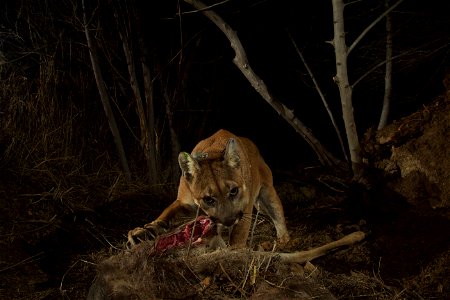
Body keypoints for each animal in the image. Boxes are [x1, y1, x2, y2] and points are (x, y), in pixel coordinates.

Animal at [126, 129, 290, 248]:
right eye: (208, 199)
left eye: (234, 191)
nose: (229, 220)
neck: (211, 152)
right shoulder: (185, 203)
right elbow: (166, 215)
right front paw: (144, 232)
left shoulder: (246, 206)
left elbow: (239, 233)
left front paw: (234, 252)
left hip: (268, 195)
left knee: (278, 216)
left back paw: (284, 241)